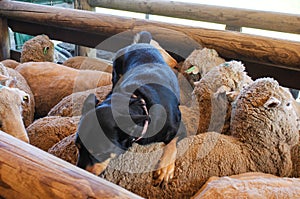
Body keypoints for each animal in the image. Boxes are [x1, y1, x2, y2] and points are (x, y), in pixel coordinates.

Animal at [75, 30, 185, 185]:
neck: (140, 102)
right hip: (116, 72)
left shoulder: (180, 128)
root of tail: (141, 43)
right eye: (77, 147)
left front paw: (165, 169)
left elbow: (172, 143)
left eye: (100, 154)